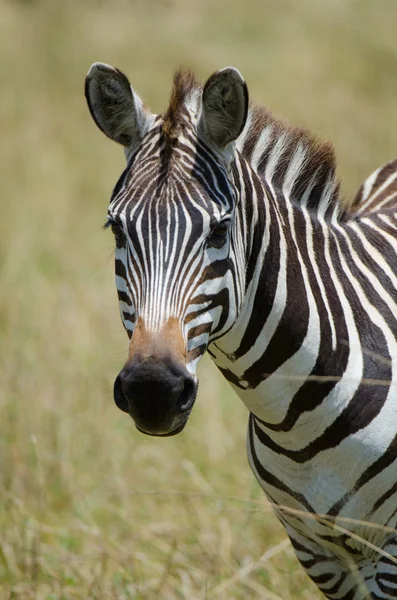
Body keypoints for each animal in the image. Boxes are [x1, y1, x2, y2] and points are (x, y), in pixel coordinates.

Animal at [84, 63, 397, 596]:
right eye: (117, 229)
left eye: (218, 229)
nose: (153, 391)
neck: (297, 423)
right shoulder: (320, 554)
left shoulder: (390, 553)